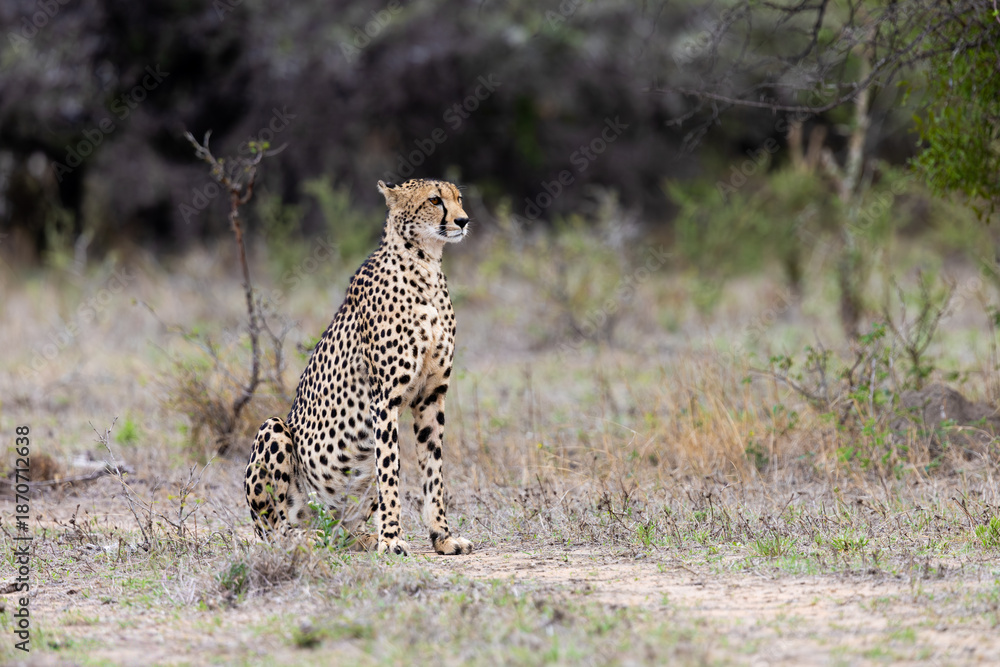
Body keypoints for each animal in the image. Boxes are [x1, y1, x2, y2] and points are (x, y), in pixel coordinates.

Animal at [244, 178, 473, 556]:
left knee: (342, 529)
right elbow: (391, 473)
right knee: (272, 530)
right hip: (273, 428)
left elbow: (434, 472)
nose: (463, 220)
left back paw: (359, 537)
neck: (426, 264)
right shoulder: (385, 401)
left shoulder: (431, 396)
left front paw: (442, 536)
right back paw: (305, 538)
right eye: (434, 200)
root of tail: (322, 521)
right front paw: (392, 538)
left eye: (458, 198)